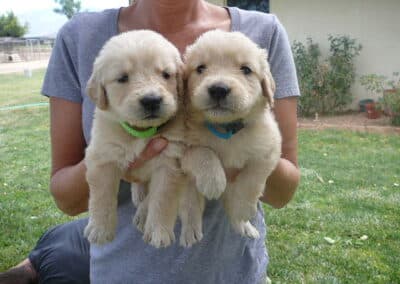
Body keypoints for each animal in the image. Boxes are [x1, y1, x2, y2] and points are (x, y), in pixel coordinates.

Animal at [85, 30, 186, 247]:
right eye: (123, 78)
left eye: (166, 74)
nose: (152, 100)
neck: (141, 131)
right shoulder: (102, 155)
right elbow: (101, 195)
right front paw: (99, 229)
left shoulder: (169, 162)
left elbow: (162, 198)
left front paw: (159, 231)